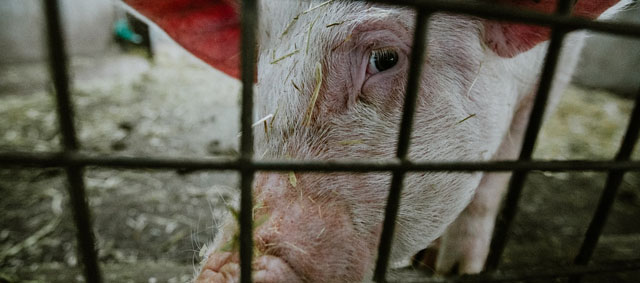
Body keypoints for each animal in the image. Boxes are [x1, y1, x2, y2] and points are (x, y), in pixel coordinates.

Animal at [124, 0, 632, 282]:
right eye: (261, 73)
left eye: (385, 58)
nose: (222, 273)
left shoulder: (559, 64)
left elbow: (498, 170)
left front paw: (451, 269)